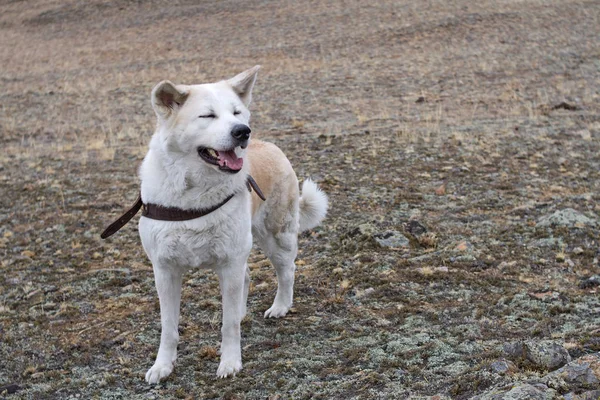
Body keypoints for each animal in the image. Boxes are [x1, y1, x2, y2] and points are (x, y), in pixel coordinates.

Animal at [129, 67, 328, 382]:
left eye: (236, 112)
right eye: (207, 116)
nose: (242, 131)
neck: (193, 196)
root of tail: (269, 145)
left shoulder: (230, 262)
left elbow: (228, 324)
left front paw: (230, 362)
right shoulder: (165, 271)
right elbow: (168, 327)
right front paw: (162, 366)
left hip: (275, 238)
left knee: (286, 271)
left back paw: (280, 306)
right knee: (247, 278)